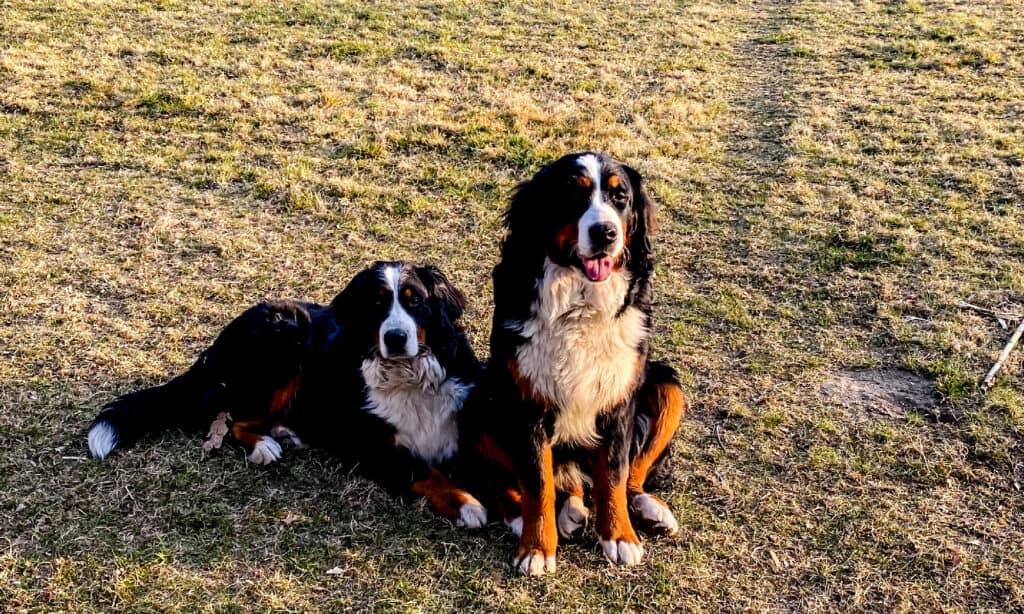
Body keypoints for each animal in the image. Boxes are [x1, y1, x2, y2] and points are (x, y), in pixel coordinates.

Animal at [88, 258, 487, 528]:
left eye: (414, 300)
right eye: (377, 304)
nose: (395, 337)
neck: (407, 377)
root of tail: (217, 345)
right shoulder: (372, 445)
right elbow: (425, 472)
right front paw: (466, 504)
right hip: (285, 342)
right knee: (230, 418)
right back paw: (265, 445)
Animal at [462, 153, 688, 577]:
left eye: (620, 196)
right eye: (572, 194)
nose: (606, 233)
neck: (581, 303)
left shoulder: (619, 399)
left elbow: (614, 474)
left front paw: (619, 536)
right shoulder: (528, 402)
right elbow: (537, 482)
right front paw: (536, 547)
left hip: (667, 386)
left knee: (627, 475)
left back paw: (647, 509)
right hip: (480, 403)